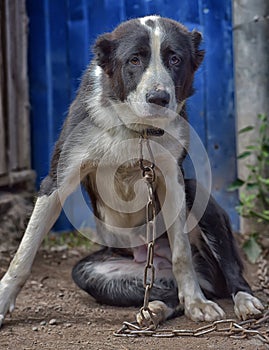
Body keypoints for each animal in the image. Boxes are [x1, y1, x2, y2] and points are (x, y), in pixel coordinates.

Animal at [0, 15, 262, 328]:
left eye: (175, 59)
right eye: (134, 60)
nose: (159, 98)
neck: (137, 129)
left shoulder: (172, 180)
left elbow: (182, 253)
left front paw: (196, 302)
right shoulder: (57, 179)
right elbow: (24, 252)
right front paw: (3, 299)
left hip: (195, 193)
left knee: (230, 272)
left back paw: (242, 300)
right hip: (94, 274)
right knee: (163, 291)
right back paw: (156, 310)